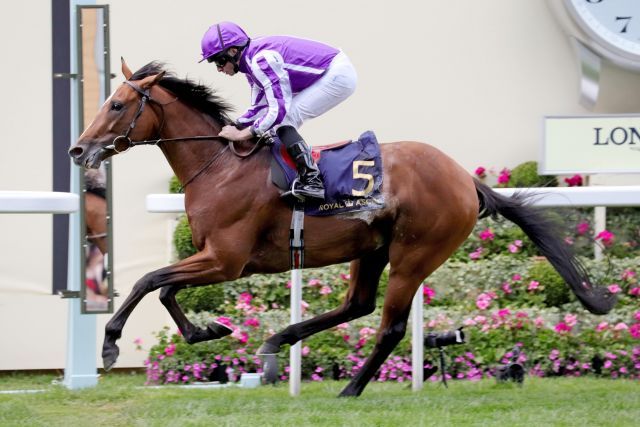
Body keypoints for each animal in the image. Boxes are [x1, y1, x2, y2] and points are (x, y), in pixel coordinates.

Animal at [69, 60, 616, 398]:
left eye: (116, 105)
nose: (78, 150)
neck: (219, 165)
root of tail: (466, 179)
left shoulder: (227, 260)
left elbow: (149, 281)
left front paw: (111, 344)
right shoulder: (215, 259)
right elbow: (163, 289)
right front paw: (209, 329)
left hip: (415, 253)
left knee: (389, 324)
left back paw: (349, 386)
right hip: (372, 248)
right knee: (358, 304)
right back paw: (278, 343)